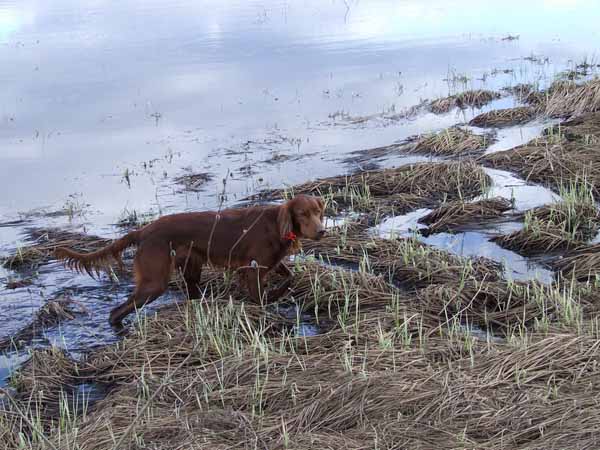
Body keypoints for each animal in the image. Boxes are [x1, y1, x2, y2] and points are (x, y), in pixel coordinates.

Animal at [56, 195, 326, 326]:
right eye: (302, 213)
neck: (277, 226)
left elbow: (290, 277)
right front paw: (271, 301)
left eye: (318, 212)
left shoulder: (270, 264)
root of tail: (143, 231)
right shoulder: (253, 270)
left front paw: (280, 293)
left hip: (190, 269)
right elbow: (260, 297)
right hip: (155, 282)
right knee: (116, 312)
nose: (322, 231)